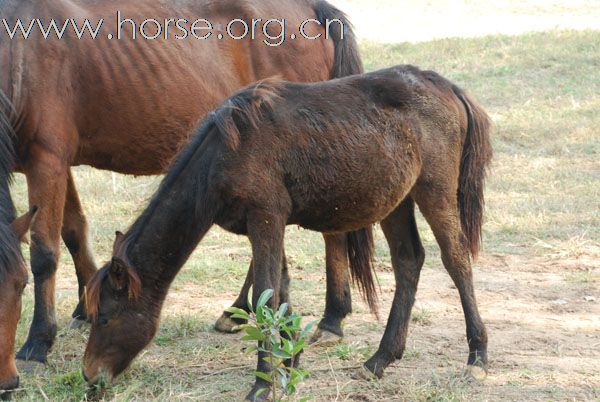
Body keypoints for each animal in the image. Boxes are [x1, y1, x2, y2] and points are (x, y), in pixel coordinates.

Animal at [1, 0, 366, 364]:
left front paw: (38, 342)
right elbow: (73, 231)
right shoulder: (59, 164)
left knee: (332, 231)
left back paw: (332, 318)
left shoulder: (46, 161)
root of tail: (312, 8)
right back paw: (236, 311)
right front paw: (84, 308)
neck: (21, 54)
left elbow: (44, 254)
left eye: (20, 286)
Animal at [82, 64, 492, 400]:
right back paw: (380, 359)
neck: (226, 152)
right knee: (409, 260)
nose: (89, 376)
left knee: (456, 260)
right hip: (397, 201)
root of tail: (447, 86)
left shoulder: (266, 218)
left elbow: (265, 294)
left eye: (104, 319)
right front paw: (289, 364)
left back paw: (477, 357)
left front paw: (262, 384)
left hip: (433, 190)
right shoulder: (266, 225)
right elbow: (279, 293)